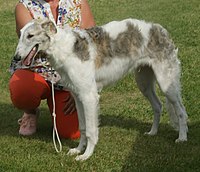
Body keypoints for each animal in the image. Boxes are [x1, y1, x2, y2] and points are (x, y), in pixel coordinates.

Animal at [13, 18, 188, 161]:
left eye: (30, 36)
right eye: (20, 35)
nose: (16, 58)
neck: (64, 48)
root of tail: (160, 29)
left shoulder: (89, 96)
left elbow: (91, 130)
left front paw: (86, 155)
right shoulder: (77, 96)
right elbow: (83, 128)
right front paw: (78, 149)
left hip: (167, 84)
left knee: (181, 111)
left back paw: (182, 137)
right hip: (144, 82)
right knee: (158, 105)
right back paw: (153, 132)